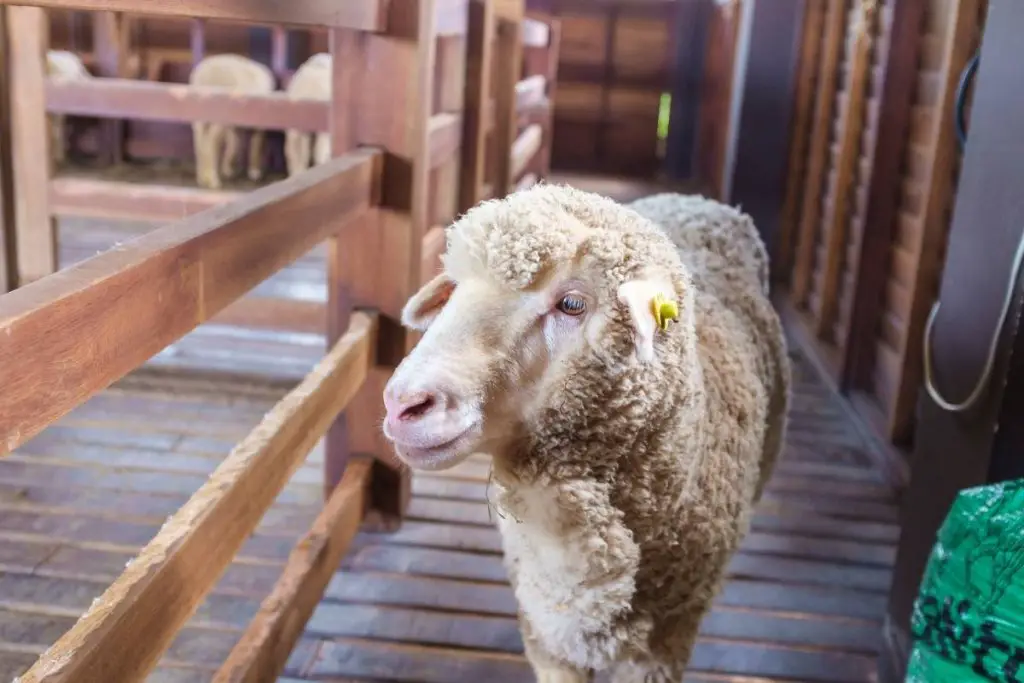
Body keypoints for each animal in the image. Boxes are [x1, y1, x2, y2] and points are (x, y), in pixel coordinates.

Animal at [188, 54, 274, 189]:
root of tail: (204, 75)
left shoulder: (235, 125)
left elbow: (235, 144)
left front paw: (227, 169)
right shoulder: (257, 124)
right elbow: (255, 144)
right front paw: (254, 172)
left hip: (198, 116)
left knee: (200, 142)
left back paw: (202, 178)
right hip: (219, 114)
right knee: (210, 141)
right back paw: (212, 181)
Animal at [380, 183, 786, 683]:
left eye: (572, 304)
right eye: (454, 290)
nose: (403, 404)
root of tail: (694, 199)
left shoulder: (660, 648)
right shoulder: (550, 640)